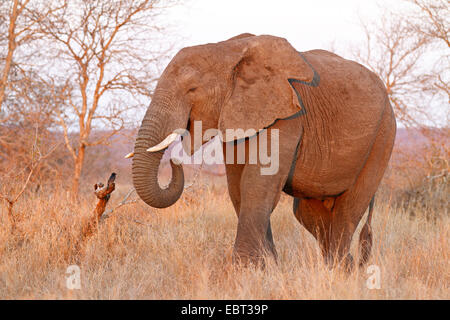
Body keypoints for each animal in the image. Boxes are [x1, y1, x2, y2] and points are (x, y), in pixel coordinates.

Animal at [128, 33, 396, 270]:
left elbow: (257, 183)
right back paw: (340, 267)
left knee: (348, 209)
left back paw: (340, 272)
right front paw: (269, 268)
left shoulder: (287, 113)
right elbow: (238, 187)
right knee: (309, 214)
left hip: (382, 138)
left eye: (192, 89)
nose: (174, 160)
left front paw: (244, 270)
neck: (227, 49)